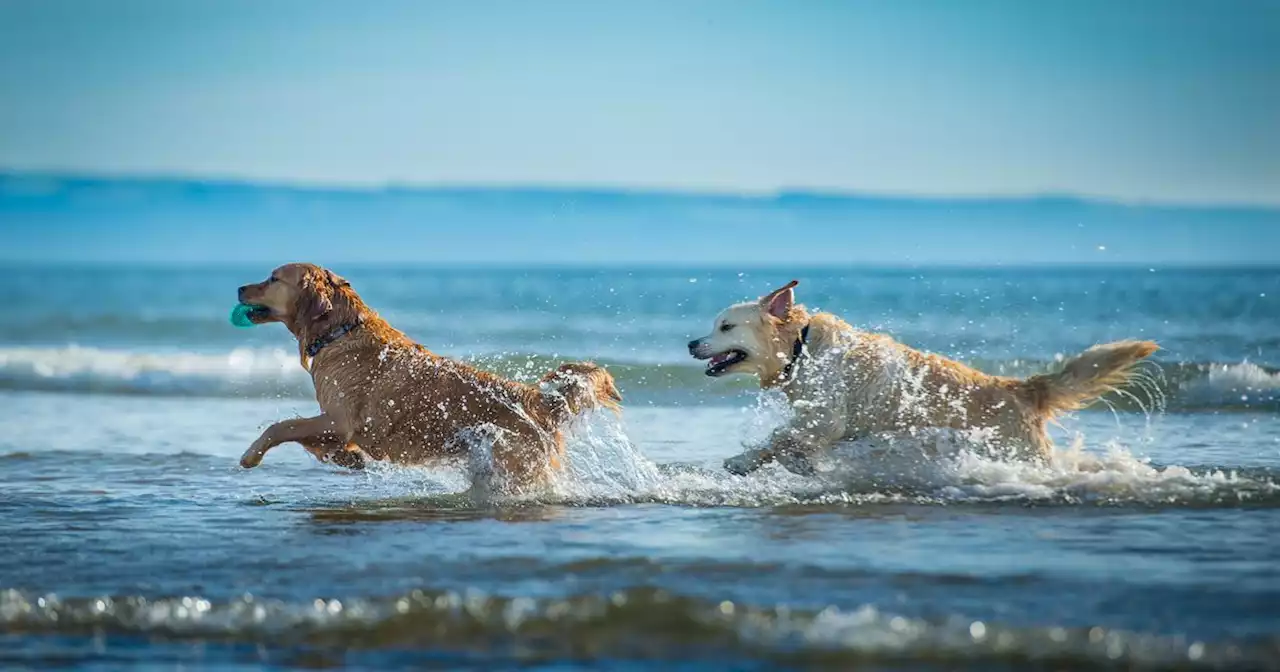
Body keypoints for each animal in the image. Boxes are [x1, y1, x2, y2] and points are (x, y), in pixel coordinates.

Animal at [239, 263, 624, 491]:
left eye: (272, 278)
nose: (240, 288)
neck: (340, 331)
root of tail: (537, 400)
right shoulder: (337, 424)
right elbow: (314, 442)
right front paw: (350, 460)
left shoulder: (339, 419)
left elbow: (282, 426)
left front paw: (251, 455)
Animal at [691, 280, 1162, 473]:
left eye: (725, 327)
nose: (692, 343)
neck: (801, 348)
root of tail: (1023, 389)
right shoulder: (823, 423)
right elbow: (791, 441)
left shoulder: (825, 416)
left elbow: (781, 436)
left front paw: (743, 461)